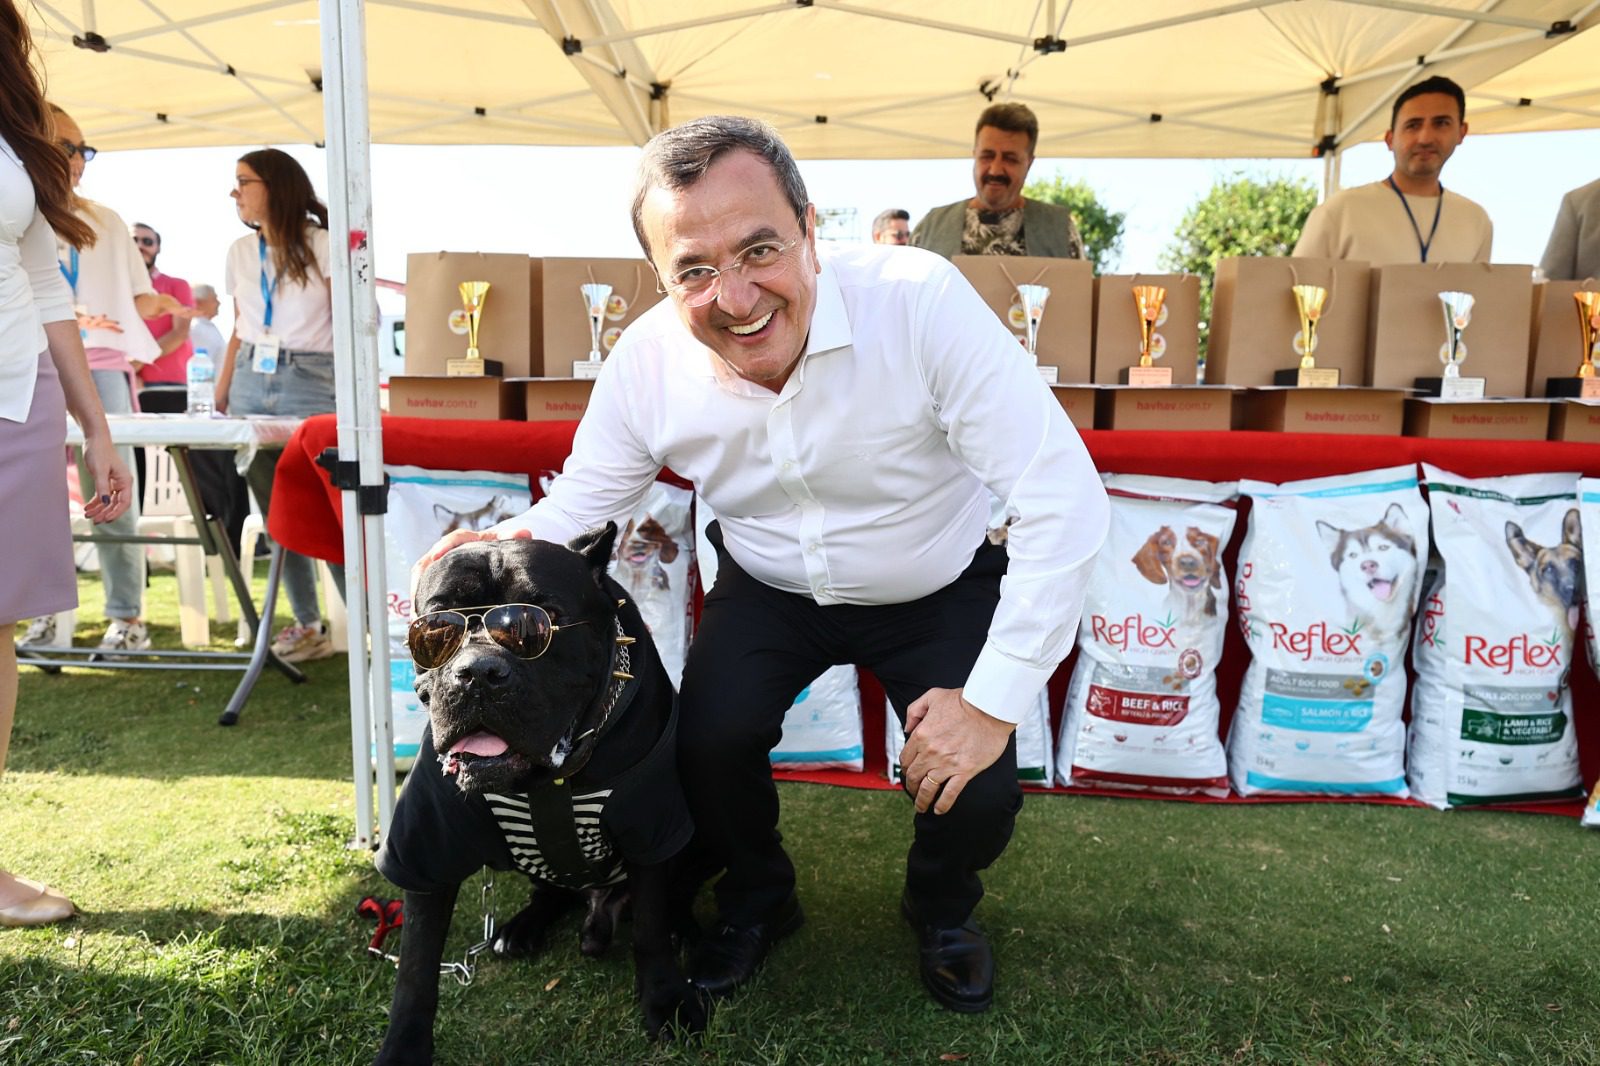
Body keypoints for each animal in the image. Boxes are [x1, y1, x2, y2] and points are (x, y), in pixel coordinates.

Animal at [374, 524, 707, 1062]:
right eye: (436, 628)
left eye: (538, 623)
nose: (479, 672)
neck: (547, 779)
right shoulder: (426, 846)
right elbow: (416, 968)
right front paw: (403, 1048)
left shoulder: (652, 827)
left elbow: (651, 927)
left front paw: (666, 999)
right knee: (551, 892)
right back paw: (521, 929)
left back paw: (685, 930)